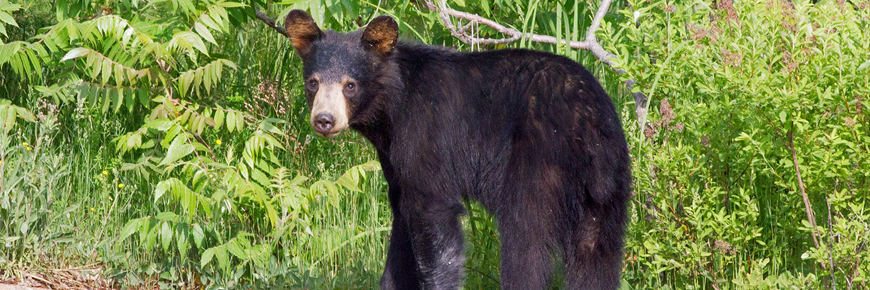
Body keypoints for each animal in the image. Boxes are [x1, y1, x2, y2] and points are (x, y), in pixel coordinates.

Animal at [286, 9, 632, 290]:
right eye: (313, 82)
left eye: (350, 85)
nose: (325, 120)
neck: (393, 107)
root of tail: (585, 117)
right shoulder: (395, 163)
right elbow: (402, 229)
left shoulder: (426, 136)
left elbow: (435, 221)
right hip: (608, 184)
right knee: (597, 254)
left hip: (538, 161)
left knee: (526, 241)